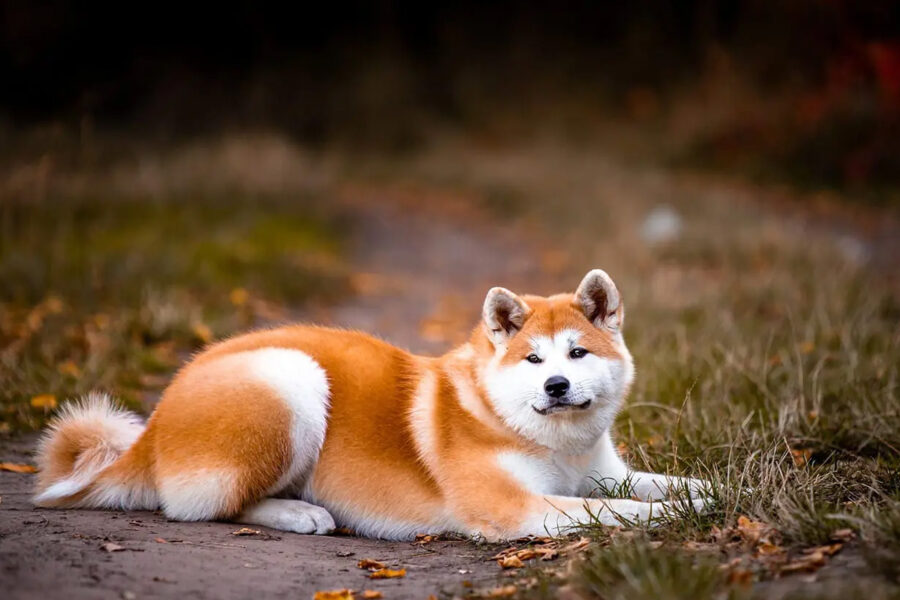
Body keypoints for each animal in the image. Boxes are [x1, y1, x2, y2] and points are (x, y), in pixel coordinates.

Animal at [35, 270, 712, 540]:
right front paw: (669, 518)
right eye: (532, 360)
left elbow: (655, 485)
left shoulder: (602, 472)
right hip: (293, 381)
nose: (557, 388)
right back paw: (299, 513)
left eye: (577, 353)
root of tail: (154, 422)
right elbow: (612, 511)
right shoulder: (514, 505)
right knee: (203, 508)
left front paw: (709, 494)